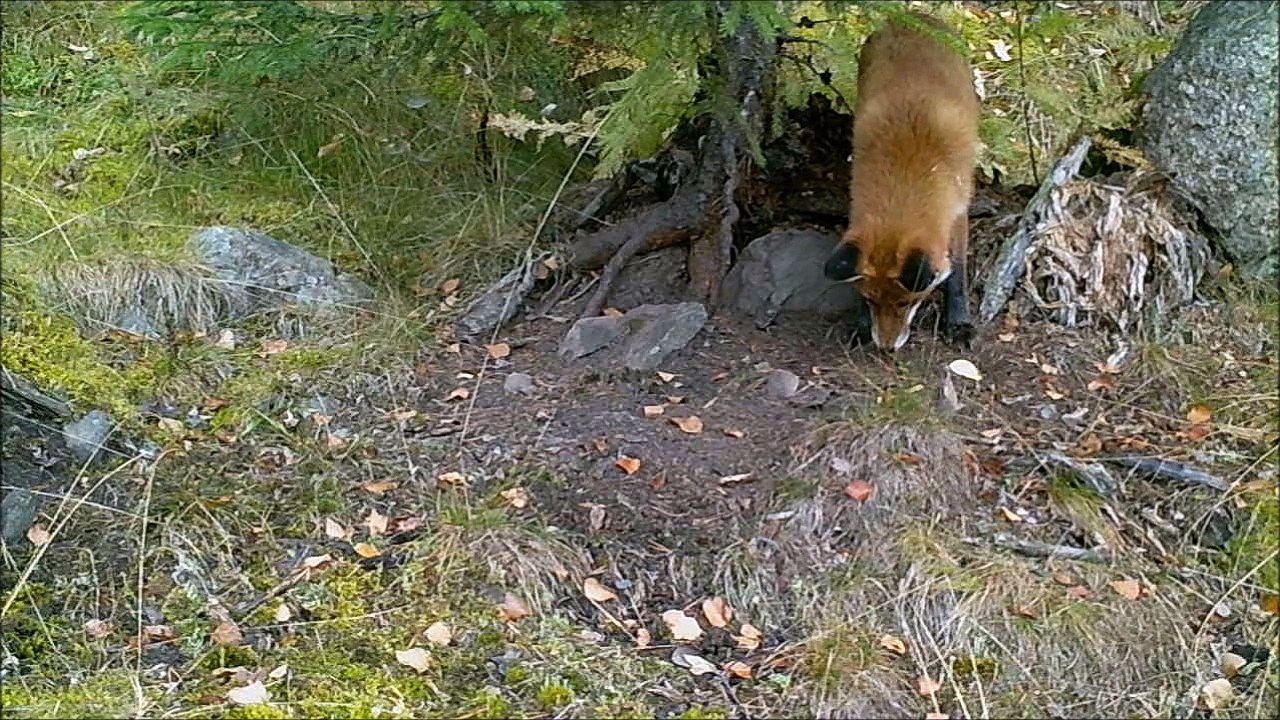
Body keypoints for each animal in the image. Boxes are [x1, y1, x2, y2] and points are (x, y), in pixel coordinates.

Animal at [823, 11, 980, 351]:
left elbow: (957, 275)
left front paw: (958, 323)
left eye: (905, 303)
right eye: (870, 300)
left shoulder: (957, 211)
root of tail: (911, 15)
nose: (885, 347)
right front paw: (861, 325)